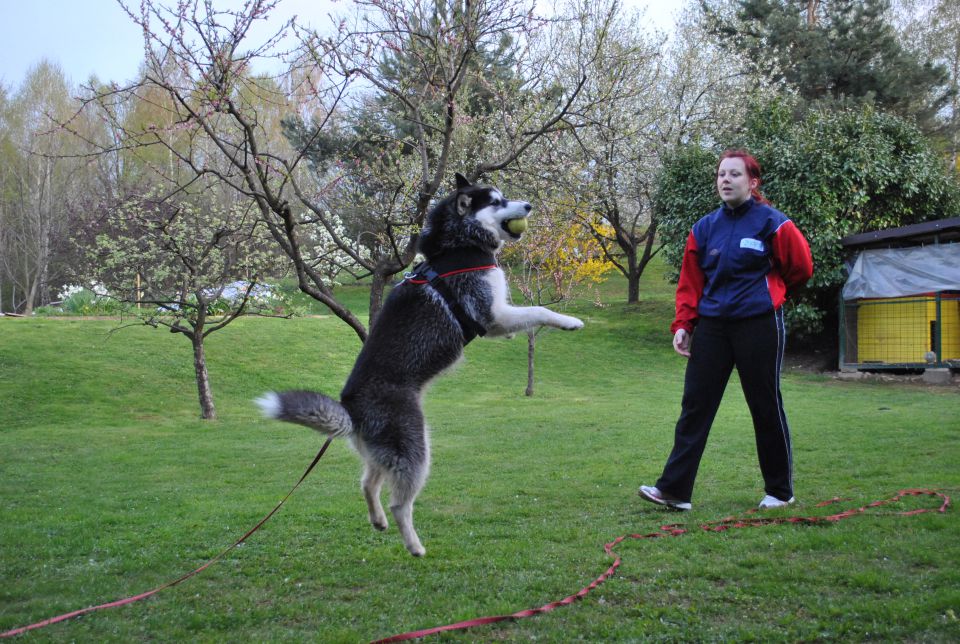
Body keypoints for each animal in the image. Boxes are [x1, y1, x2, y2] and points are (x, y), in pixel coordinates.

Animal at [255, 174, 580, 556]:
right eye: (497, 201)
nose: (528, 206)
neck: (457, 243)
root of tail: (351, 409)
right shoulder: (491, 315)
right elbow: (538, 311)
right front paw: (570, 321)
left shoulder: (497, 317)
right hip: (415, 448)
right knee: (399, 503)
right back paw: (413, 545)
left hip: (385, 454)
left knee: (367, 483)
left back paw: (378, 520)